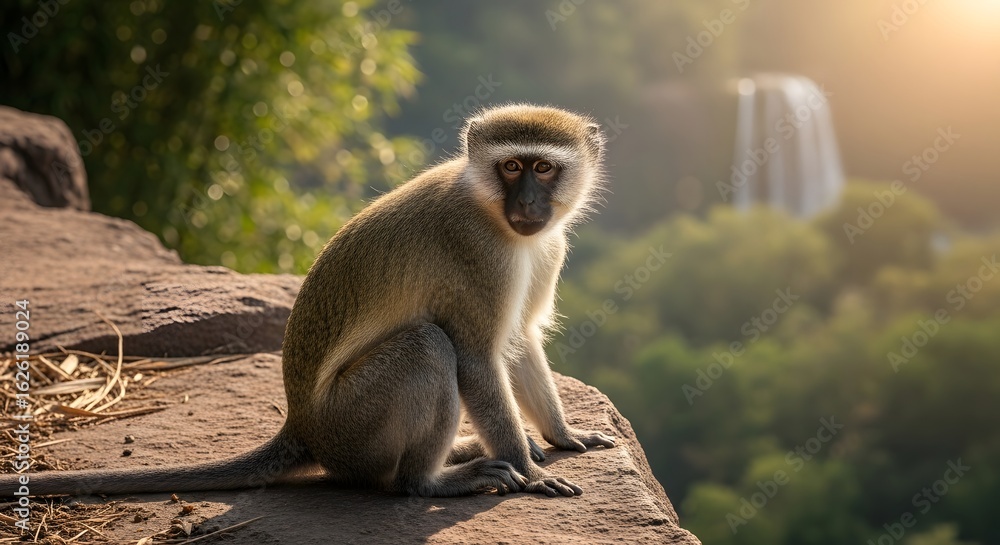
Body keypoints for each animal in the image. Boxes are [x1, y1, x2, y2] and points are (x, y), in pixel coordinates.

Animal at [1, 103, 615, 499]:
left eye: (543, 167)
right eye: (511, 166)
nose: (529, 203)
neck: (497, 217)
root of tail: (302, 426)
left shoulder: (547, 247)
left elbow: (520, 339)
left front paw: (560, 435)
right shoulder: (478, 254)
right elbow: (477, 358)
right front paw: (532, 474)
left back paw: (461, 453)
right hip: (351, 426)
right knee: (427, 347)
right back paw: (431, 481)